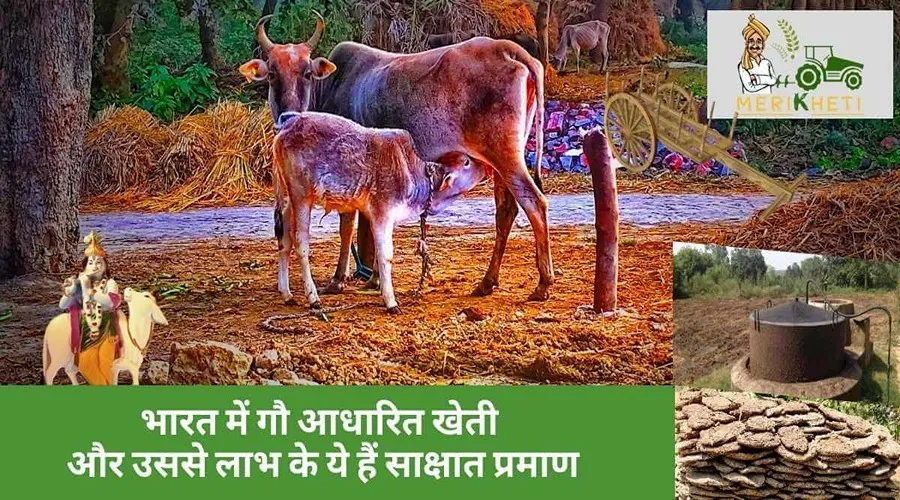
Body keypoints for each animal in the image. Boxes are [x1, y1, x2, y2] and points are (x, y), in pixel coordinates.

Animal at [272, 112, 484, 314]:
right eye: (467, 162)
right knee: (301, 243)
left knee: (284, 240)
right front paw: (390, 301)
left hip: (288, 199)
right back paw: (313, 298)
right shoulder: (382, 212)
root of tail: (287, 126)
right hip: (301, 196)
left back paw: (287, 293)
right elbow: (385, 255)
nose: (485, 166)